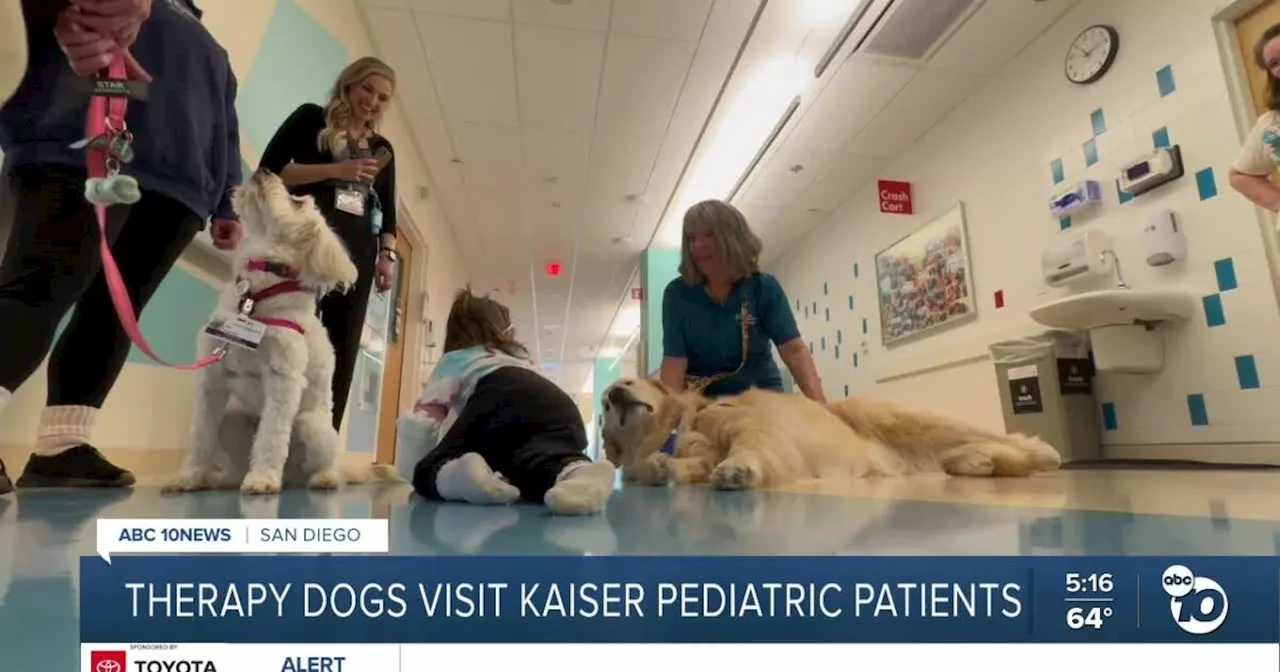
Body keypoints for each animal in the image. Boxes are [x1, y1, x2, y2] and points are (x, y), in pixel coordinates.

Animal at [166, 167, 399, 491]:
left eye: (297, 202)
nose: (264, 169)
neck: (255, 299)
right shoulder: (212, 380)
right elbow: (200, 435)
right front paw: (189, 475)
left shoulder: (283, 381)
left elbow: (272, 437)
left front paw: (263, 478)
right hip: (230, 421)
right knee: (237, 464)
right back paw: (218, 478)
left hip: (313, 428)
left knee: (321, 466)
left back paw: (321, 478)